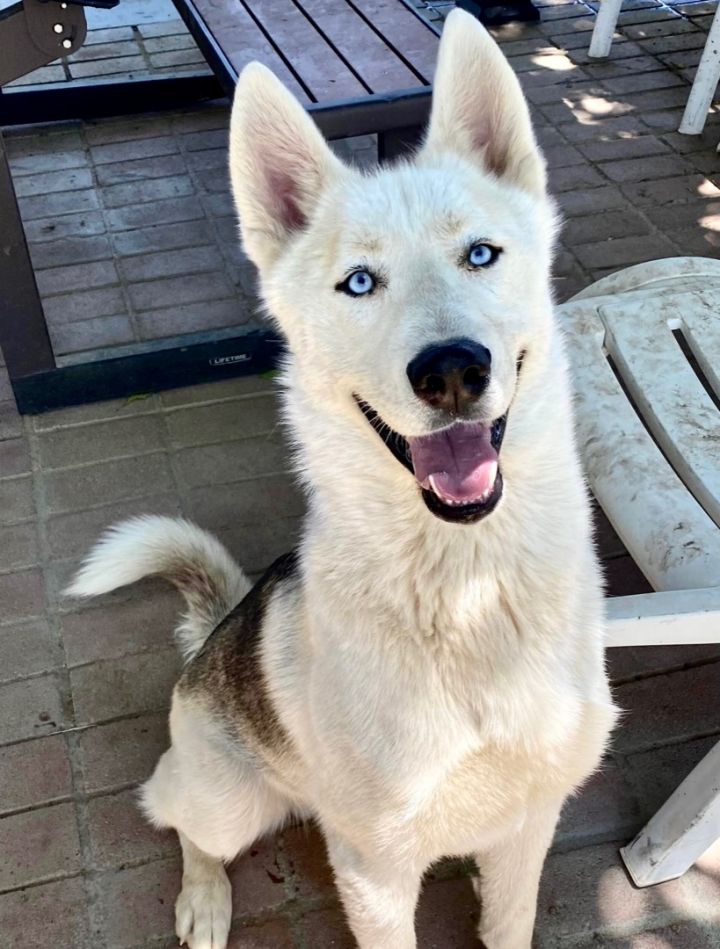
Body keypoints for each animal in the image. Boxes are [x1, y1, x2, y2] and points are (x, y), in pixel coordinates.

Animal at [69, 11, 620, 944]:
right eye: (359, 282)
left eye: (481, 254)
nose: (451, 371)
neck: (469, 590)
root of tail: (217, 634)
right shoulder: (374, 871)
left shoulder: (529, 826)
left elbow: (509, 917)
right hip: (226, 798)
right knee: (178, 819)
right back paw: (204, 898)